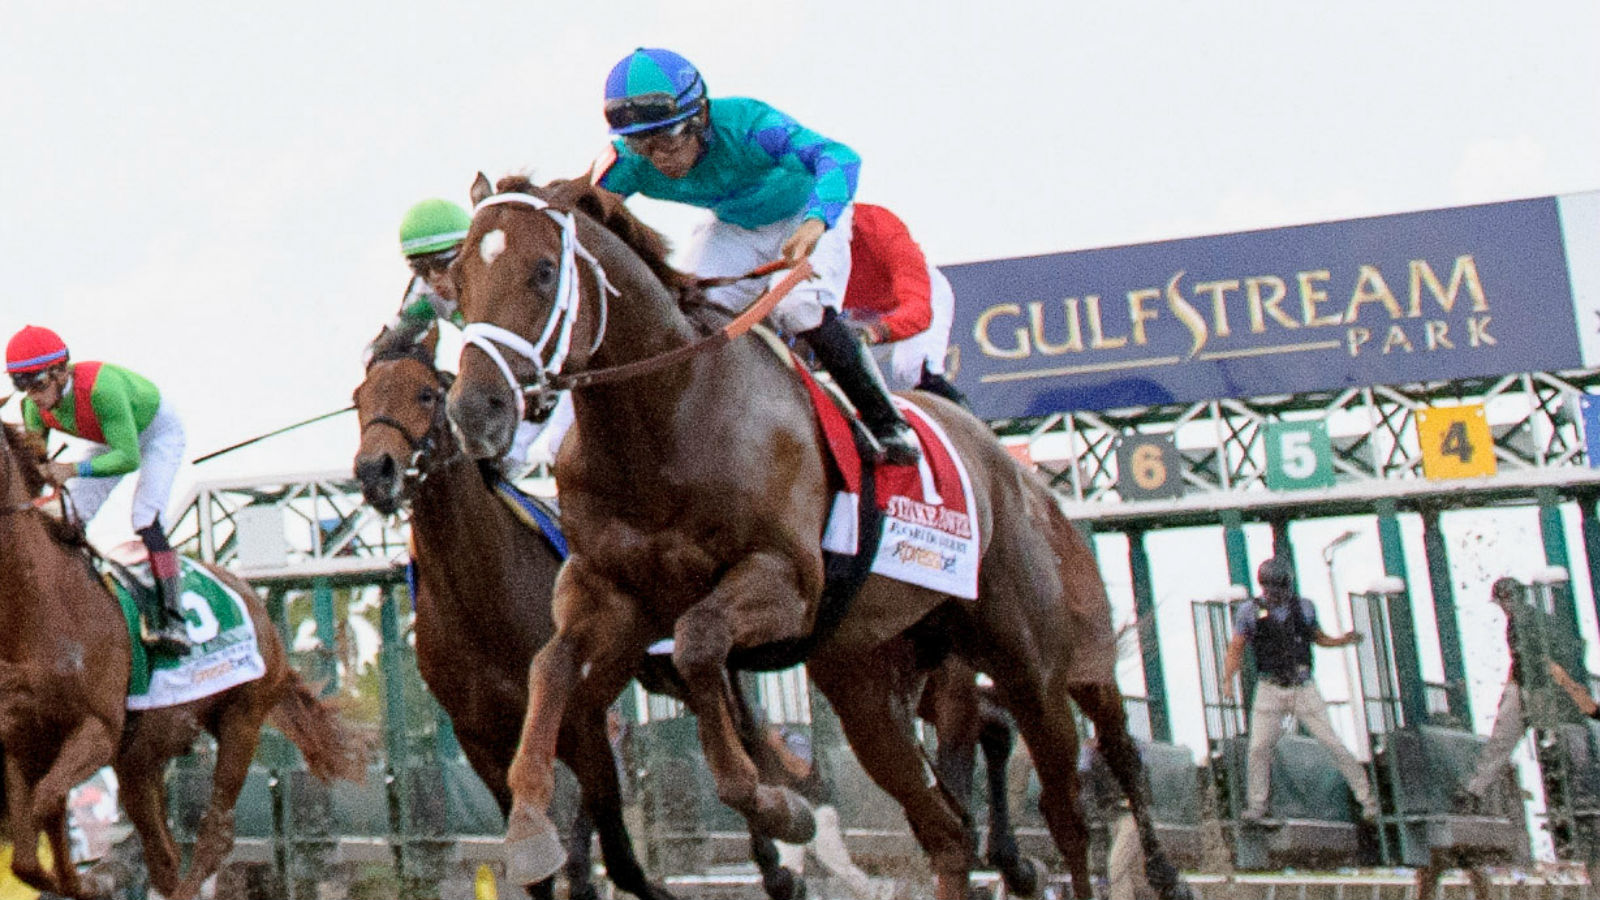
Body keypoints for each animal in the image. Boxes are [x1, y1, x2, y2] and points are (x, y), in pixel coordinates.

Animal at [0, 422, 365, 900]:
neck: (37, 608)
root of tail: (255, 602)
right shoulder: (22, 739)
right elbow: (29, 850)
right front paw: (77, 880)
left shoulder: (99, 730)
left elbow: (47, 805)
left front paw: (88, 882)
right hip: (139, 759)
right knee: (163, 855)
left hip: (241, 721)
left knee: (214, 836)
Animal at [443, 173, 1191, 900]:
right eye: (457, 281)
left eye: (543, 271)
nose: (474, 410)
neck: (668, 417)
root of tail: (1013, 473)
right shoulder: (610, 593)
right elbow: (552, 668)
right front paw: (528, 831)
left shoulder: (788, 583)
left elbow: (699, 643)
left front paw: (779, 807)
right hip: (867, 683)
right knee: (946, 830)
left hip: (1033, 662)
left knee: (1069, 810)